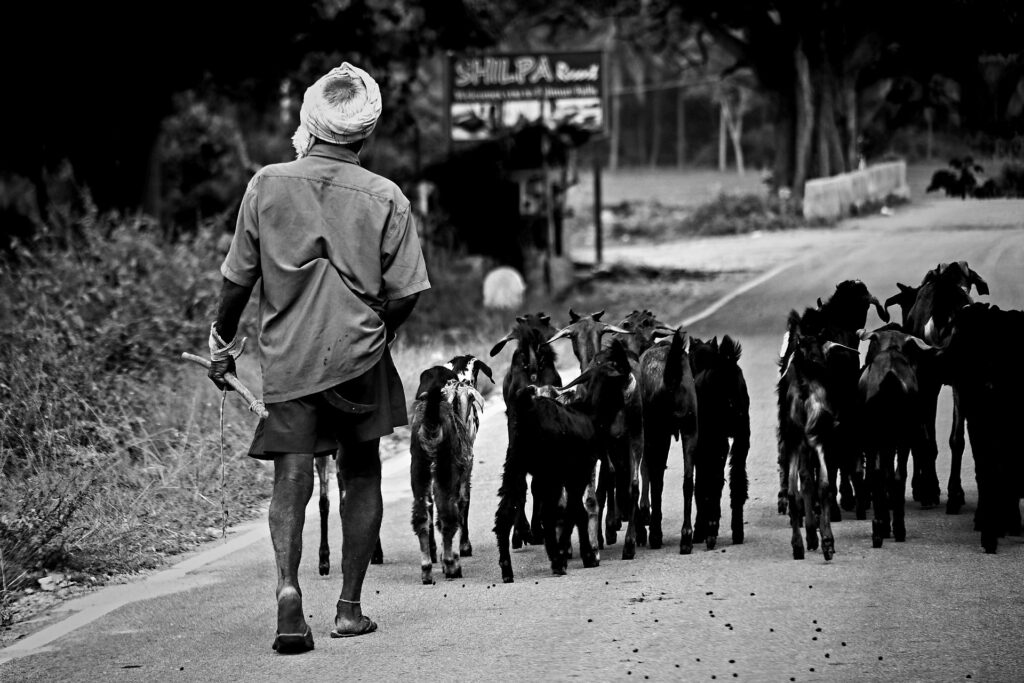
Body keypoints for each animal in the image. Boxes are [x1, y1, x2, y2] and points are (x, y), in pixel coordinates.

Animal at [493, 342, 630, 581]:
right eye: (620, 365)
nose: (632, 377)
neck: (590, 413)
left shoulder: (569, 475)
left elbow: (578, 512)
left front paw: (585, 555)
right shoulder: (579, 471)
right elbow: (574, 511)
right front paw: (574, 553)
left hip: (515, 466)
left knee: (504, 515)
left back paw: (507, 570)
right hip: (548, 471)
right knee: (548, 513)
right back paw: (557, 562)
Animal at [688, 335, 753, 548]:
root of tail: (726, 366)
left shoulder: (701, 448)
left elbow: (701, 486)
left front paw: (699, 531)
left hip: (717, 438)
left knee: (714, 482)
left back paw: (710, 532)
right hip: (741, 436)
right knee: (737, 481)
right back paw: (737, 532)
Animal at [856, 327, 937, 548]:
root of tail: (890, 376)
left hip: (879, 437)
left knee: (879, 474)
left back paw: (881, 528)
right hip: (901, 437)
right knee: (898, 475)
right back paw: (897, 528)